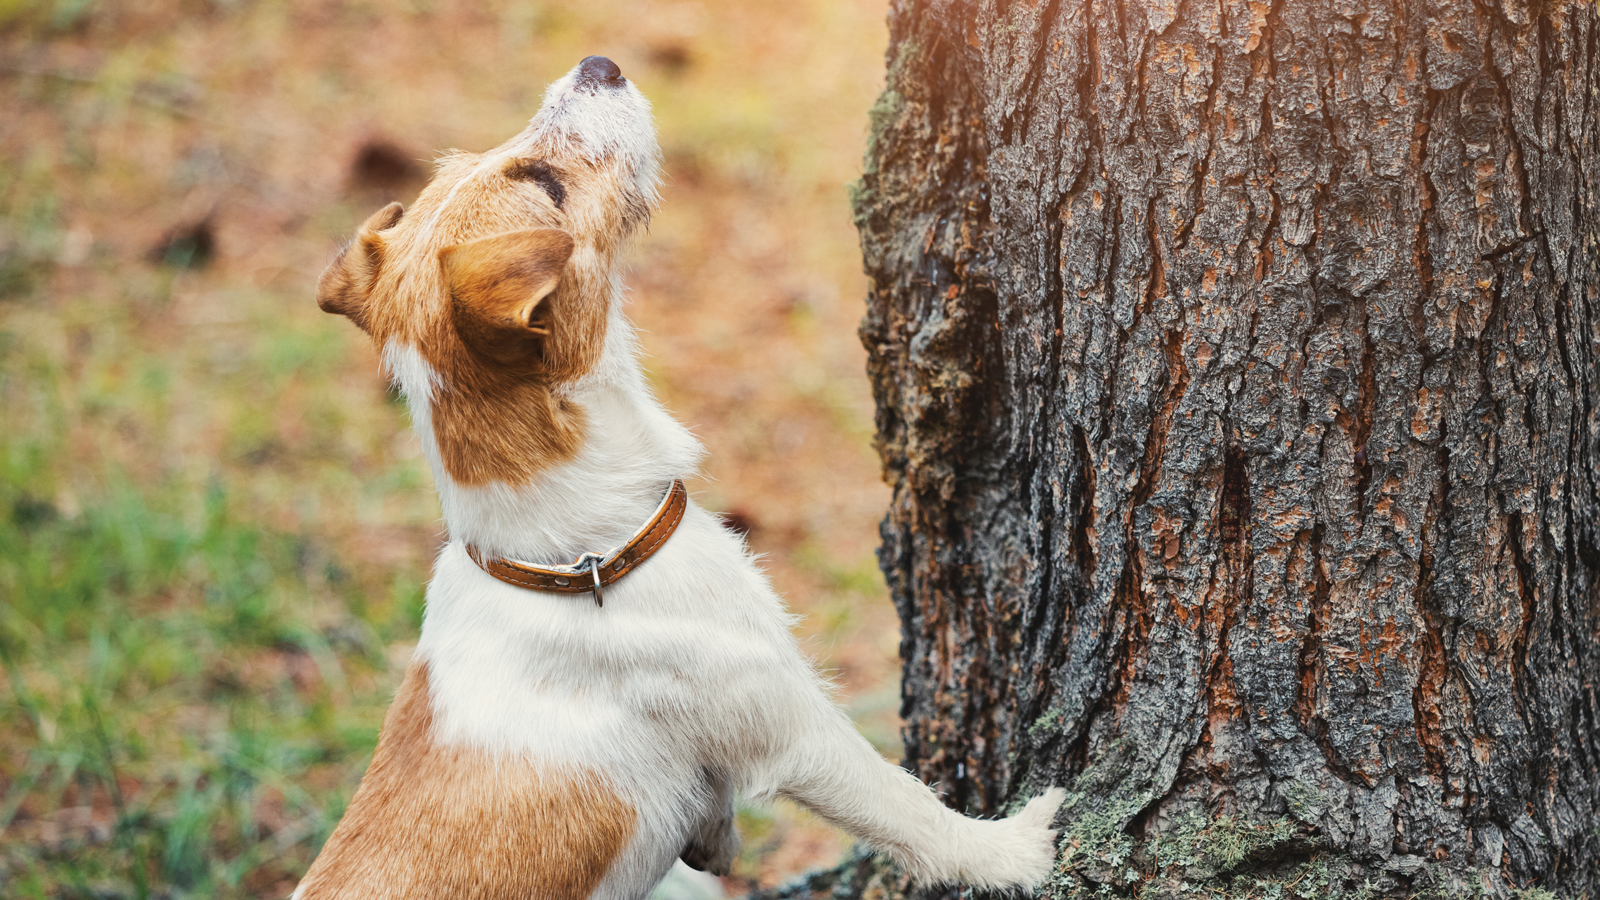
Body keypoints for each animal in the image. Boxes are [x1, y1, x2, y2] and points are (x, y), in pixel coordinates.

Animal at [296, 56, 1062, 896]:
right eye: (546, 185)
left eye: (469, 161)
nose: (599, 64)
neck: (572, 557)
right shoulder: (788, 722)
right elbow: (905, 805)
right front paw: (1019, 848)